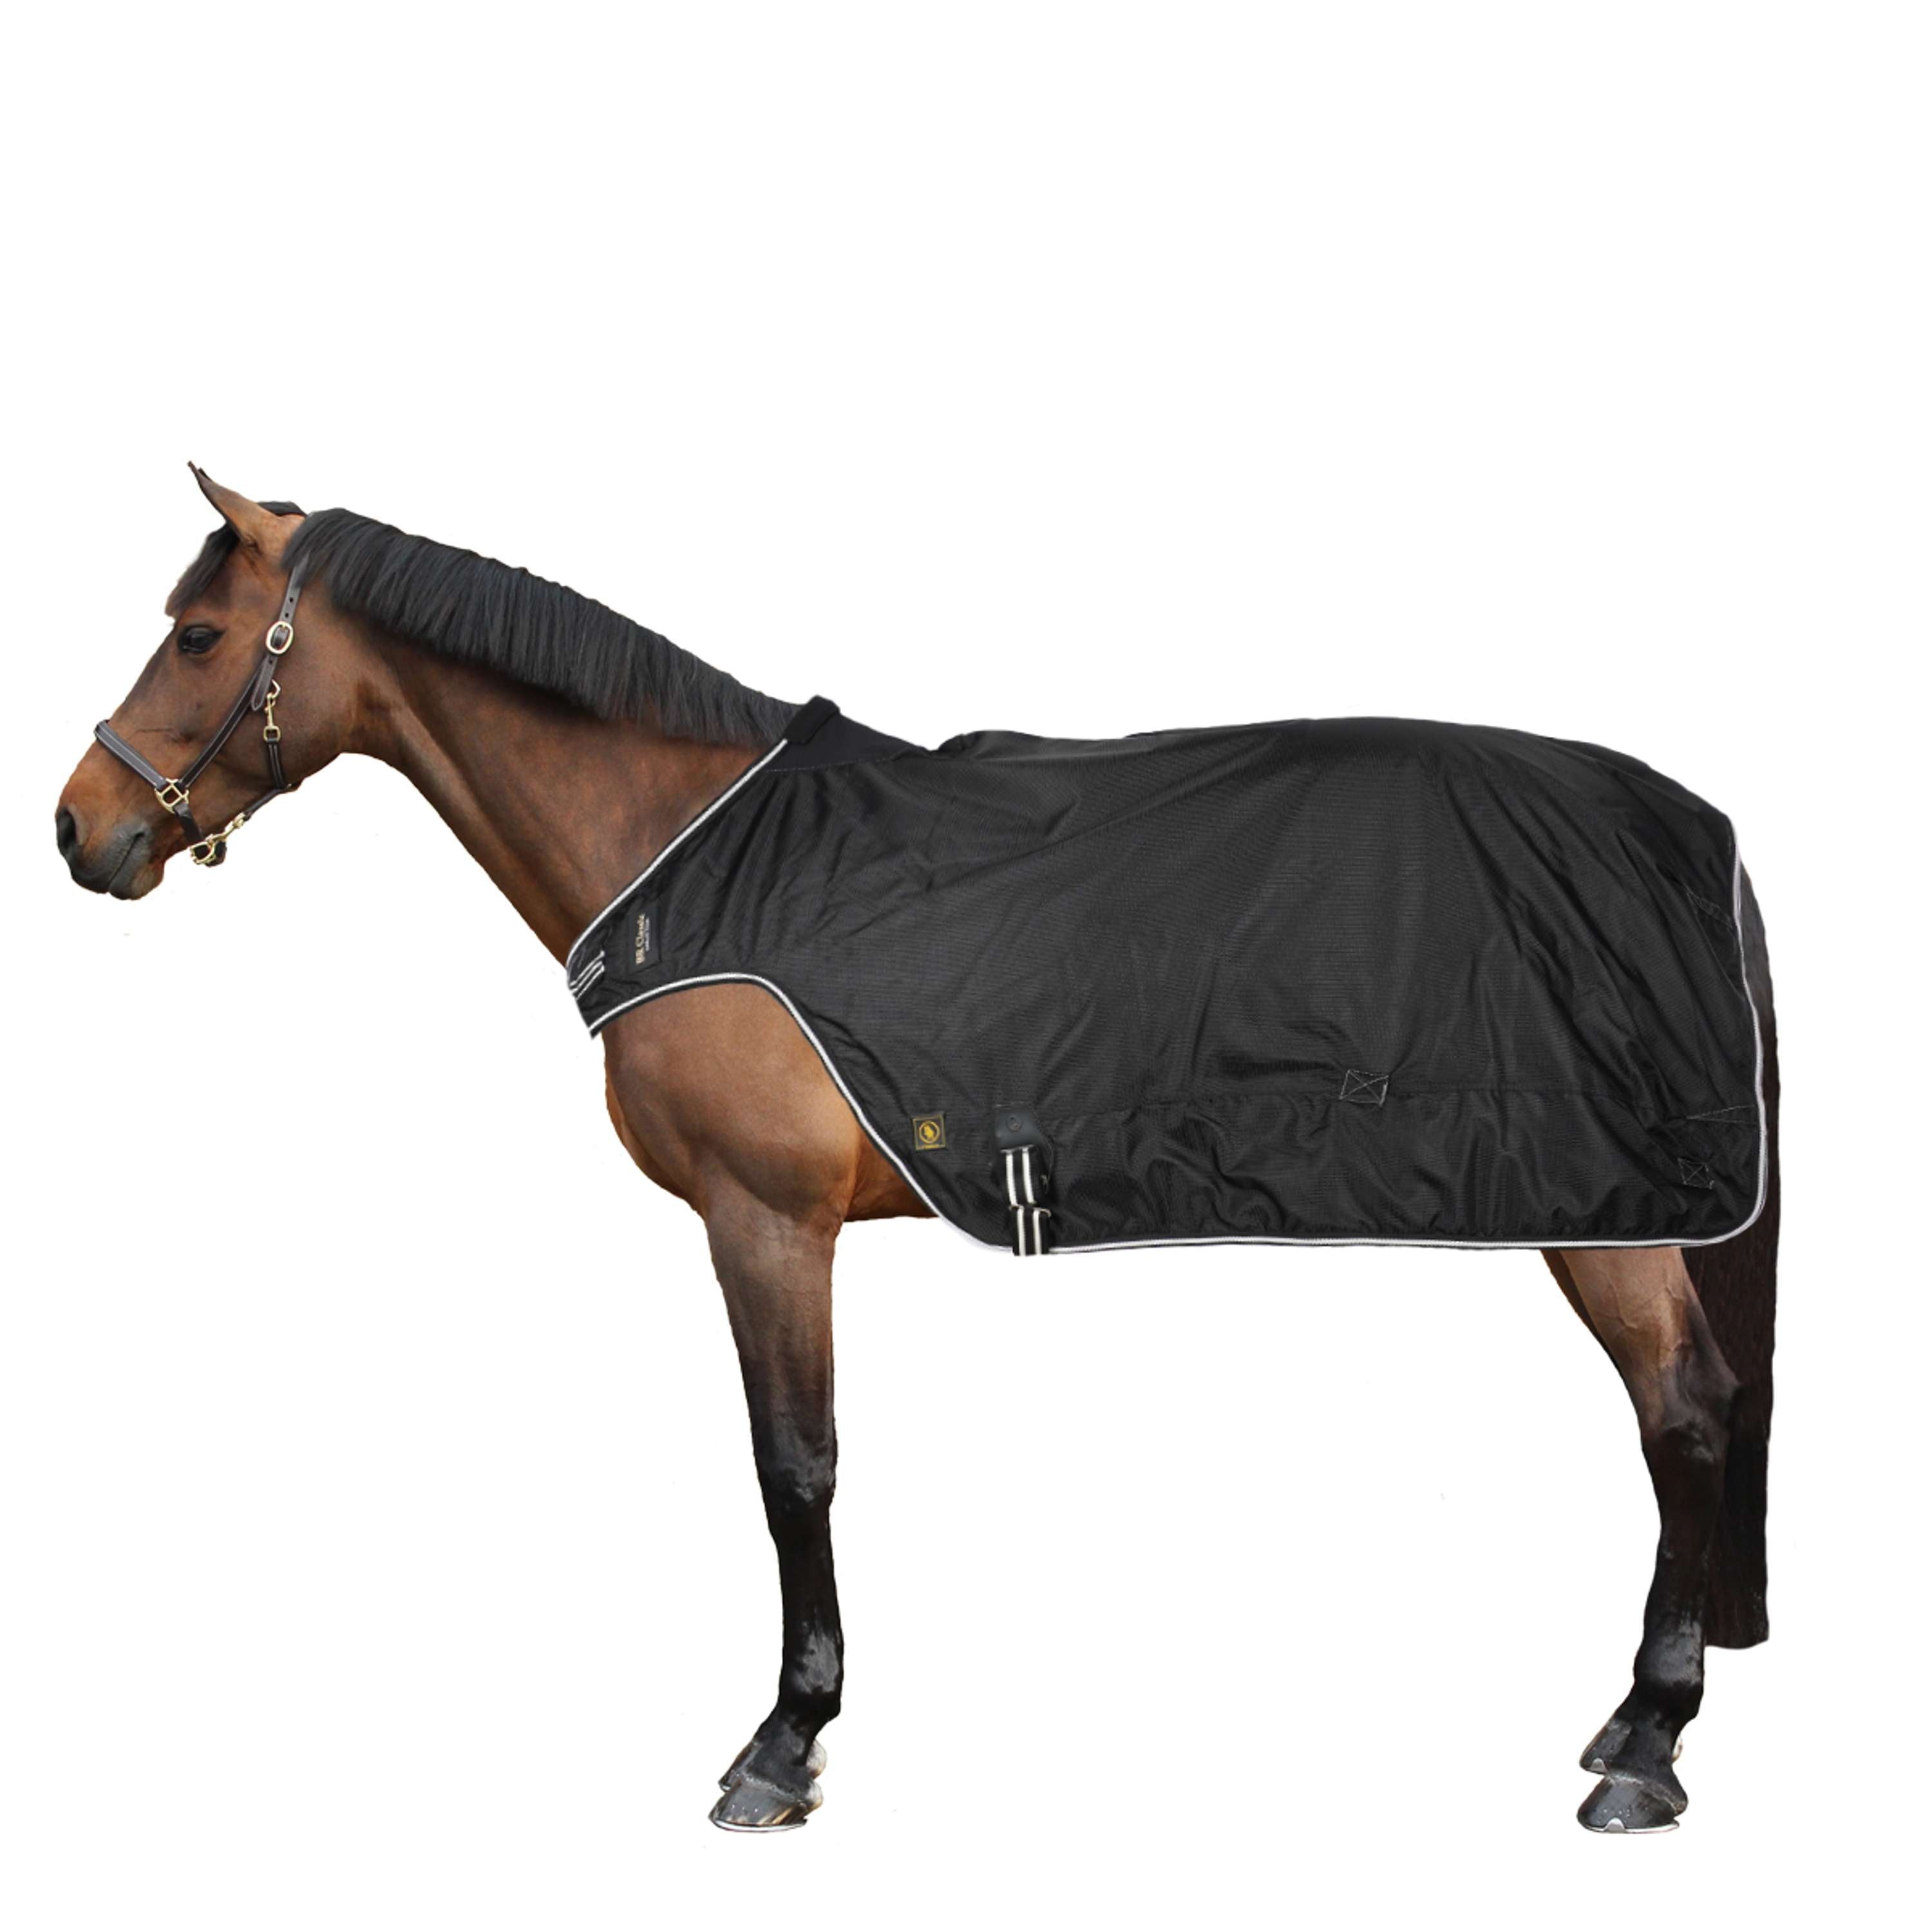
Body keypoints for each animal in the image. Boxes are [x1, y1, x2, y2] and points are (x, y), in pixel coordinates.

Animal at [55, 469, 1779, 1835]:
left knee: (1685, 1413)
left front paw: (782, 1744)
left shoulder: (764, 1218)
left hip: (1612, 1214)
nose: (81, 830)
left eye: (198, 636)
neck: (693, 853)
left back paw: (1646, 1746)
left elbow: (794, 1464)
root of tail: (1692, 828)